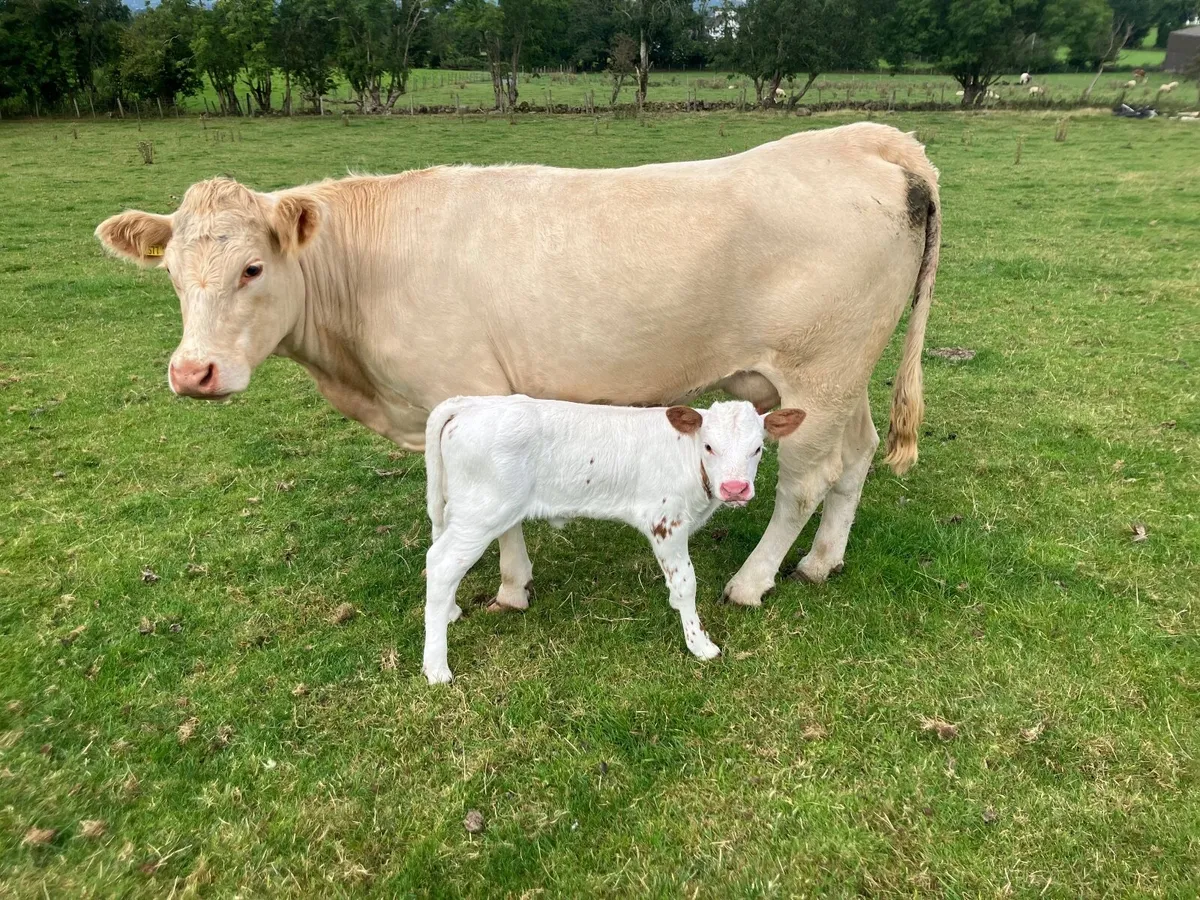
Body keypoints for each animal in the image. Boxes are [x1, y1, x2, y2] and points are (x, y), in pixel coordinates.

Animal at [94, 121, 941, 612]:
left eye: (252, 269)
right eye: (173, 276)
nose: (193, 373)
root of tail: (870, 139)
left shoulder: (472, 394)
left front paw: (507, 588)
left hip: (816, 372)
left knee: (803, 482)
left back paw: (753, 581)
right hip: (837, 376)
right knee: (856, 457)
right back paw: (822, 563)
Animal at [421, 396, 807, 683]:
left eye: (758, 449)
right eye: (709, 446)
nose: (735, 489)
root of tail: (471, 404)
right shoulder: (665, 521)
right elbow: (686, 584)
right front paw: (699, 644)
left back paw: (450, 613)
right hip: (482, 513)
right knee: (441, 565)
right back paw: (437, 669)